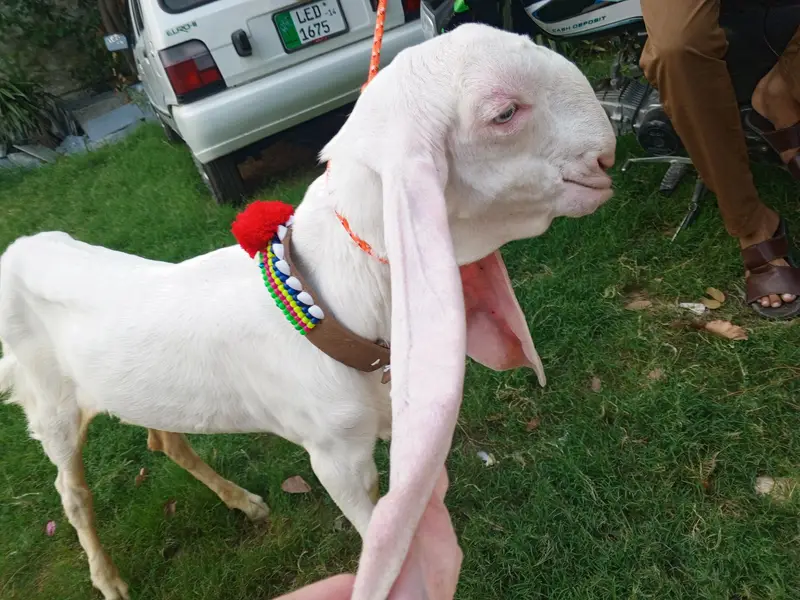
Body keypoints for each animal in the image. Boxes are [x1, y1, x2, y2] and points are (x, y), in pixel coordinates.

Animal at [0, 23, 616, 600]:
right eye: (504, 114)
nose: (607, 155)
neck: (335, 297)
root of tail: (19, 248)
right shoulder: (334, 457)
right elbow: (371, 527)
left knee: (164, 439)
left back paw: (243, 502)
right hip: (51, 406)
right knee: (71, 491)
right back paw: (108, 579)